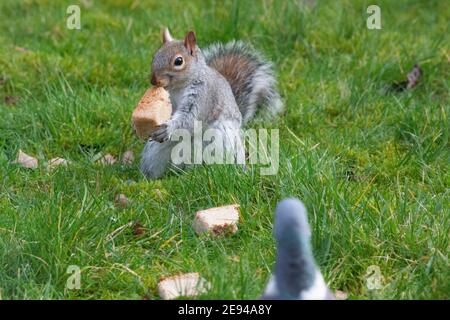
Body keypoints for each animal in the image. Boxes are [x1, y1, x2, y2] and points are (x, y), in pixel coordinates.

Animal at [141, 28, 284, 179]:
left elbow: (190, 118)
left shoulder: (204, 96)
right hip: (156, 150)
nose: (153, 80)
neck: (178, 88)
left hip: (221, 139)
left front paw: (168, 128)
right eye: (155, 56)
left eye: (178, 61)